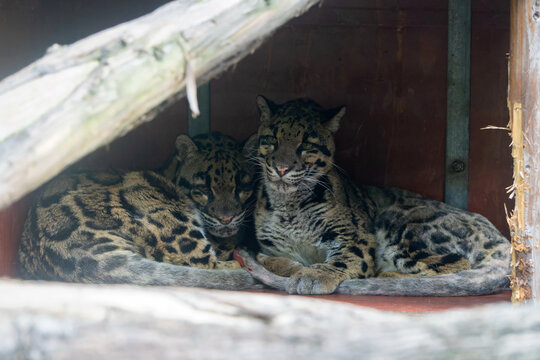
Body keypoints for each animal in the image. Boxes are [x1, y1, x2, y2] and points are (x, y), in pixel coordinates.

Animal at [236, 95, 510, 296]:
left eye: (306, 146)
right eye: (271, 140)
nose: (282, 168)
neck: (289, 205)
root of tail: (501, 239)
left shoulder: (356, 240)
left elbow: (341, 260)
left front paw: (313, 274)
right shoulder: (275, 245)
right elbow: (272, 257)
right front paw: (285, 265)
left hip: (405, 225)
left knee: (455, 264)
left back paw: (386, 276)